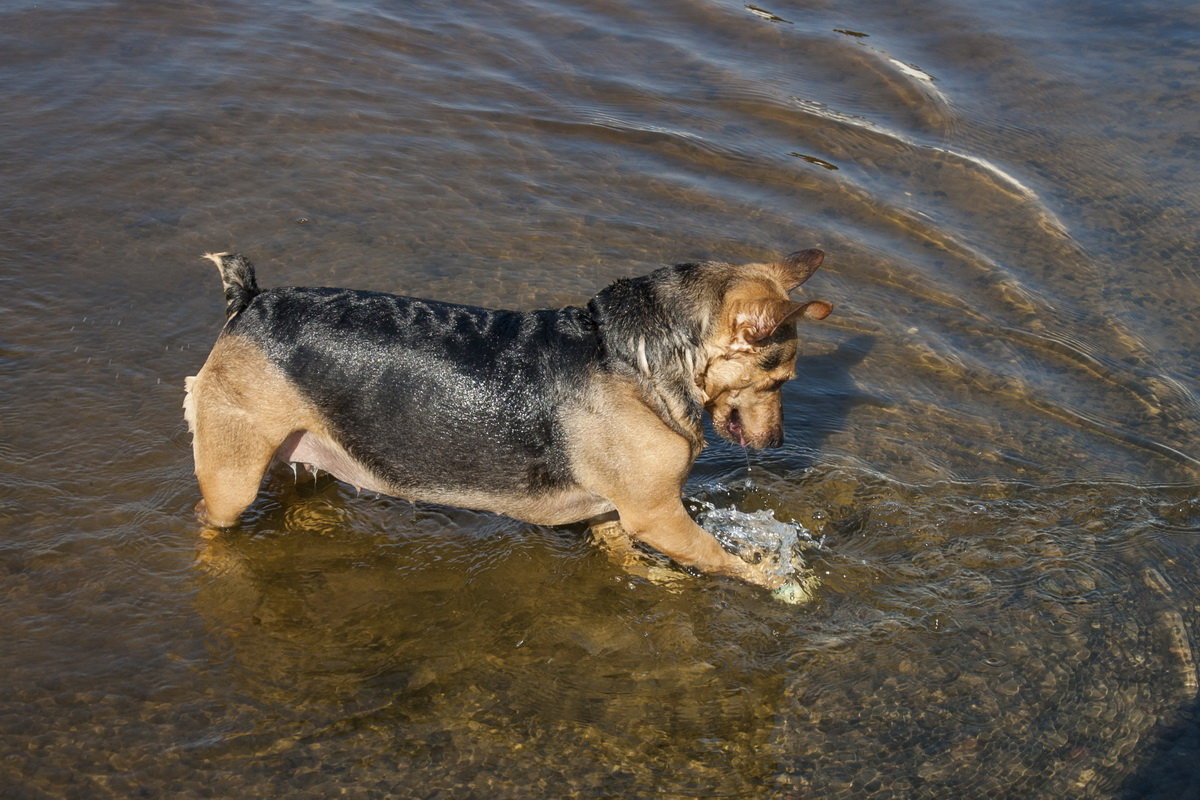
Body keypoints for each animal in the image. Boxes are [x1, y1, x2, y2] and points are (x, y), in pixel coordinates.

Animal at [182, 250, 830, 594]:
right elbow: (721, 557)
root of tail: (249, 299)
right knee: (209, 521)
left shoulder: (617, 518)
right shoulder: (656, 515)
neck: (639, 354)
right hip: (231, 474)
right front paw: (777, 579)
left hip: (301, 446)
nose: (778, 441)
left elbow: (651, 562)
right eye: (779, 381)